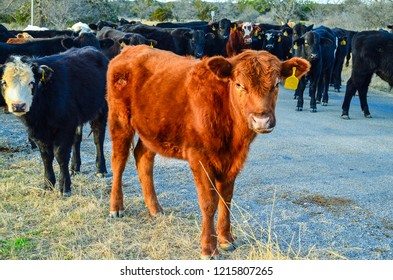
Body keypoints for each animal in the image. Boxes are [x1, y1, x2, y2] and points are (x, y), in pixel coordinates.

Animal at [0, 46, 107, 195]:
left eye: (31, 82)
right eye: (4, 82)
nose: (18, 105)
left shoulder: (65, 127)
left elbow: (60, 155)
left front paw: (64, 186)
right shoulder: (38, 131)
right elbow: (46, 156)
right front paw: (48, 184)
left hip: (102, 109)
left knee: (98, 138)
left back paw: (100, 169)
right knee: (77, 140)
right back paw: (74, 167)